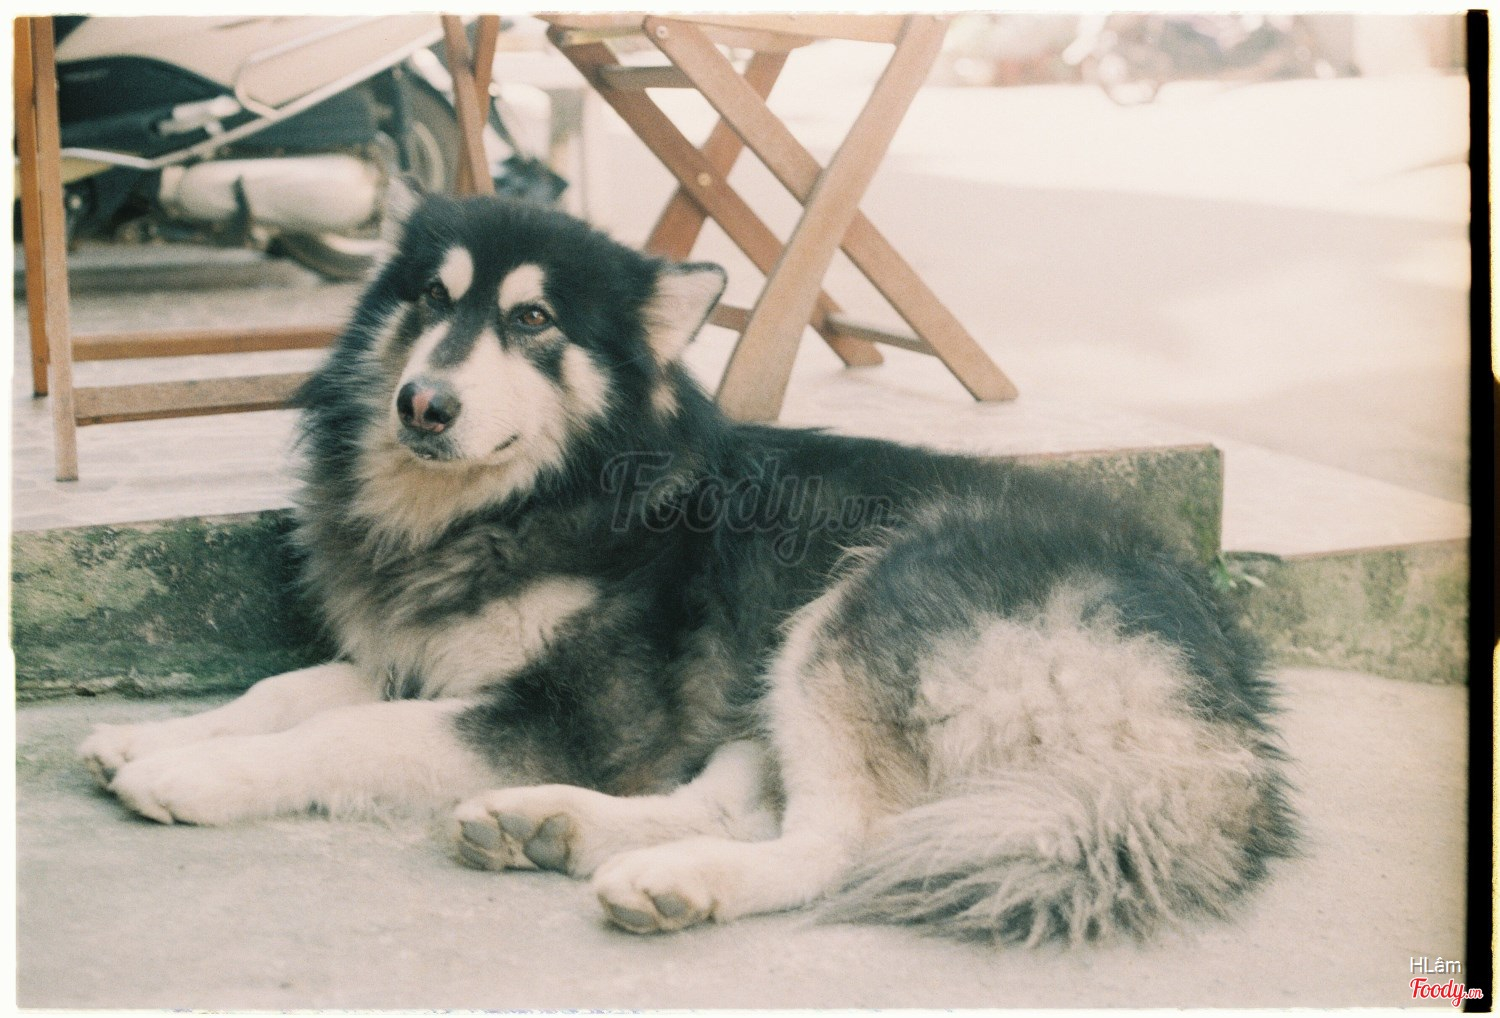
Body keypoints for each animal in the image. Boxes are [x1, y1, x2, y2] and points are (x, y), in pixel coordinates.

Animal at [79, 192, 1295, 945]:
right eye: (430, 298)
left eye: (533, 318)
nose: (422, 403)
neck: (542, 491)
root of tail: (1220, 705)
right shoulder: (416, 656)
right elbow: (285, 689)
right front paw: (158, 735)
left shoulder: (581, 711)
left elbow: (344, 734)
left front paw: (194, 777)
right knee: (739, 796)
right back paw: (553, 830)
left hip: (854, 607)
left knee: (838, 841)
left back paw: (673, 878)